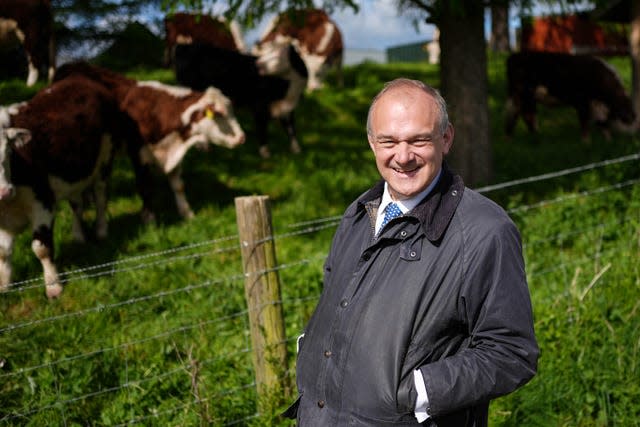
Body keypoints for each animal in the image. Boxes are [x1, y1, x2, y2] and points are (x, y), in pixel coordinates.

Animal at [0, 76, 127, 298]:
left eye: (7, 150)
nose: (4, 191)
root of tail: (82, 79)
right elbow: (3, 252)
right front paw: (4, 286)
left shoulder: (43, 201)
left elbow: (41, 248)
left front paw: (54, 286)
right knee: (77, 206)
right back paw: (78, 236)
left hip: (105, 159)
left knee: (101, 198)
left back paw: (101, 231)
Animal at [53, 64, 245, 224]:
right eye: (219, 114)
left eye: (232, 111)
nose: (242, 137)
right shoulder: (138, 154)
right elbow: (145, 187)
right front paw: (149, 219)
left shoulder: (174, 157)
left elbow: (178, 186)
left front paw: (187, 213)